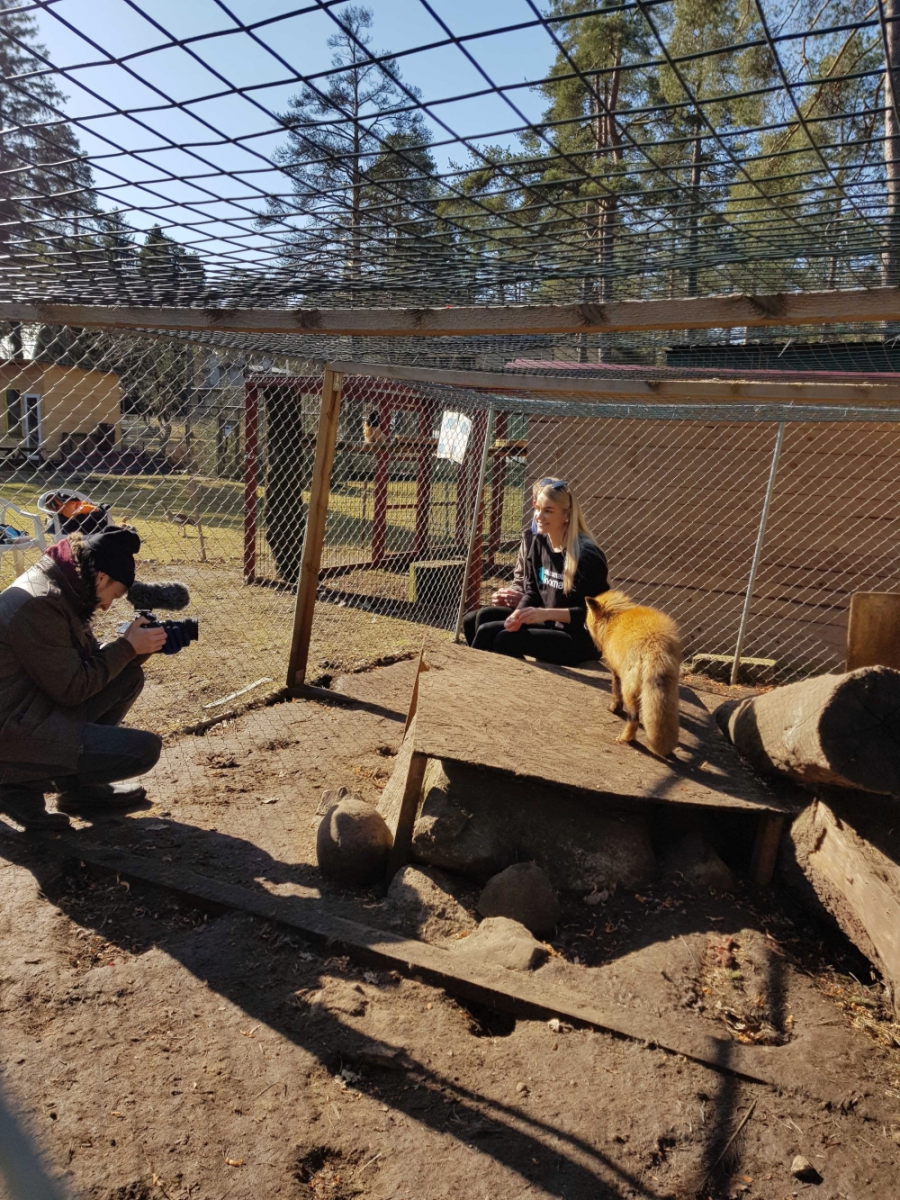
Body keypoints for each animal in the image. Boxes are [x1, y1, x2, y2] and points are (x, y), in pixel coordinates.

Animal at [585, 592, 681, 758]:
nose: (583, 625)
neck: (616, 617)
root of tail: (655, 644)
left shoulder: (616, 672)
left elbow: (616, 694)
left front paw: (614, 709)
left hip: (630, 690)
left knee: (634, 719)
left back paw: (626, 738)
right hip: (670, 691)